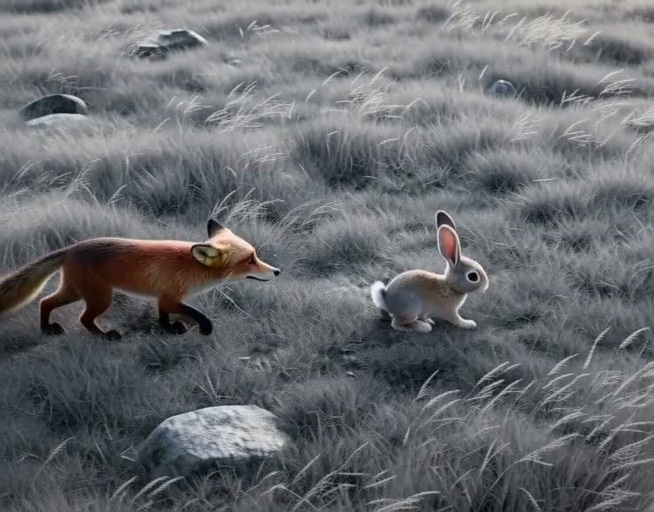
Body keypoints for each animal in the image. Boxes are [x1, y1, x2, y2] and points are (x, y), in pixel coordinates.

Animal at [0, 219, 281, 340]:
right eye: (250, 260)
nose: (277, 271)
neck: (191, 267)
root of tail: (71, 248)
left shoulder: (163, 298)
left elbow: (163, 317)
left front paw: (169, 330)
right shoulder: (171, 296)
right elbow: (195, 313)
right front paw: (204, 328)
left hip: (75, 291)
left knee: (44, 302)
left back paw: (46, 329)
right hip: (100, 298)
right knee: (82, 318)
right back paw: (104, 337)